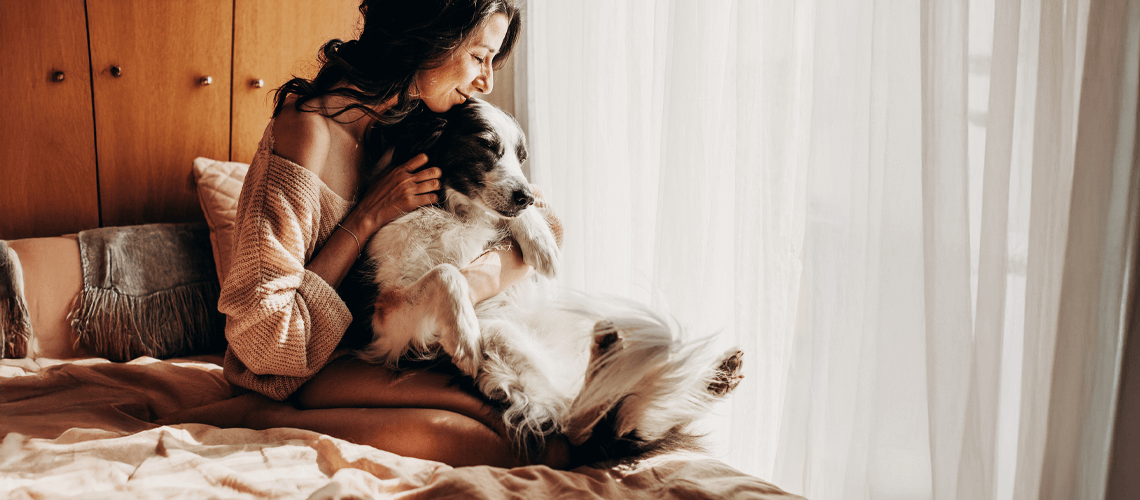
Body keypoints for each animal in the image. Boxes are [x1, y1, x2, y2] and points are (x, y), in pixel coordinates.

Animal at [360, 99, 743, 466]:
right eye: (486, 145)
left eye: (521, 157)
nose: (525, 196)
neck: (453, 210)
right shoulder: (386, 322)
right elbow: (446, 272)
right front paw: (463, 335)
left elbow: (508, 225)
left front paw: (541, 243)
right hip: (500, 336)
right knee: (574, 423)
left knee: (588, 415)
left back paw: (711, 375)